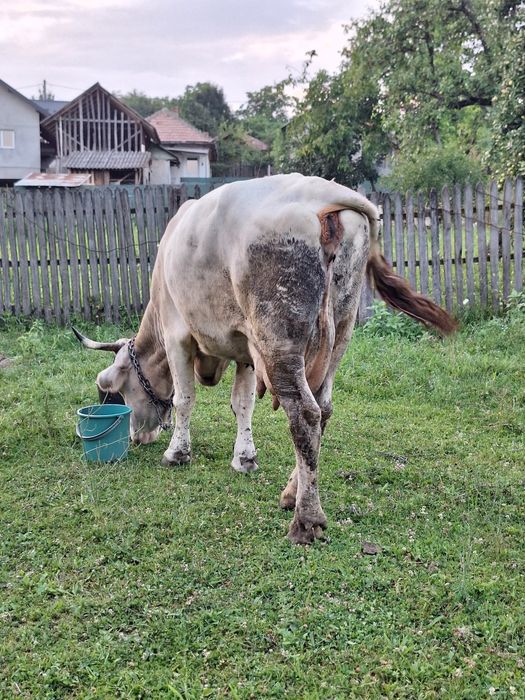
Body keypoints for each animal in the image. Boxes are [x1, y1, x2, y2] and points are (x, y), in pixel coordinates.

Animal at [74, 174, 456, 544]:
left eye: (113, 389)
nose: (138, 438)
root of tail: (324, 193)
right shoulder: (246, 347)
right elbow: (243, 403)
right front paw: (244, 457)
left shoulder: (177, 333)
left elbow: (184, 399)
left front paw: (177, 453)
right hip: (341, 331)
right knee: (323, 409)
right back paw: (291, 493)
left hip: (278, 339)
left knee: (305, 412)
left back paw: (306, 520)